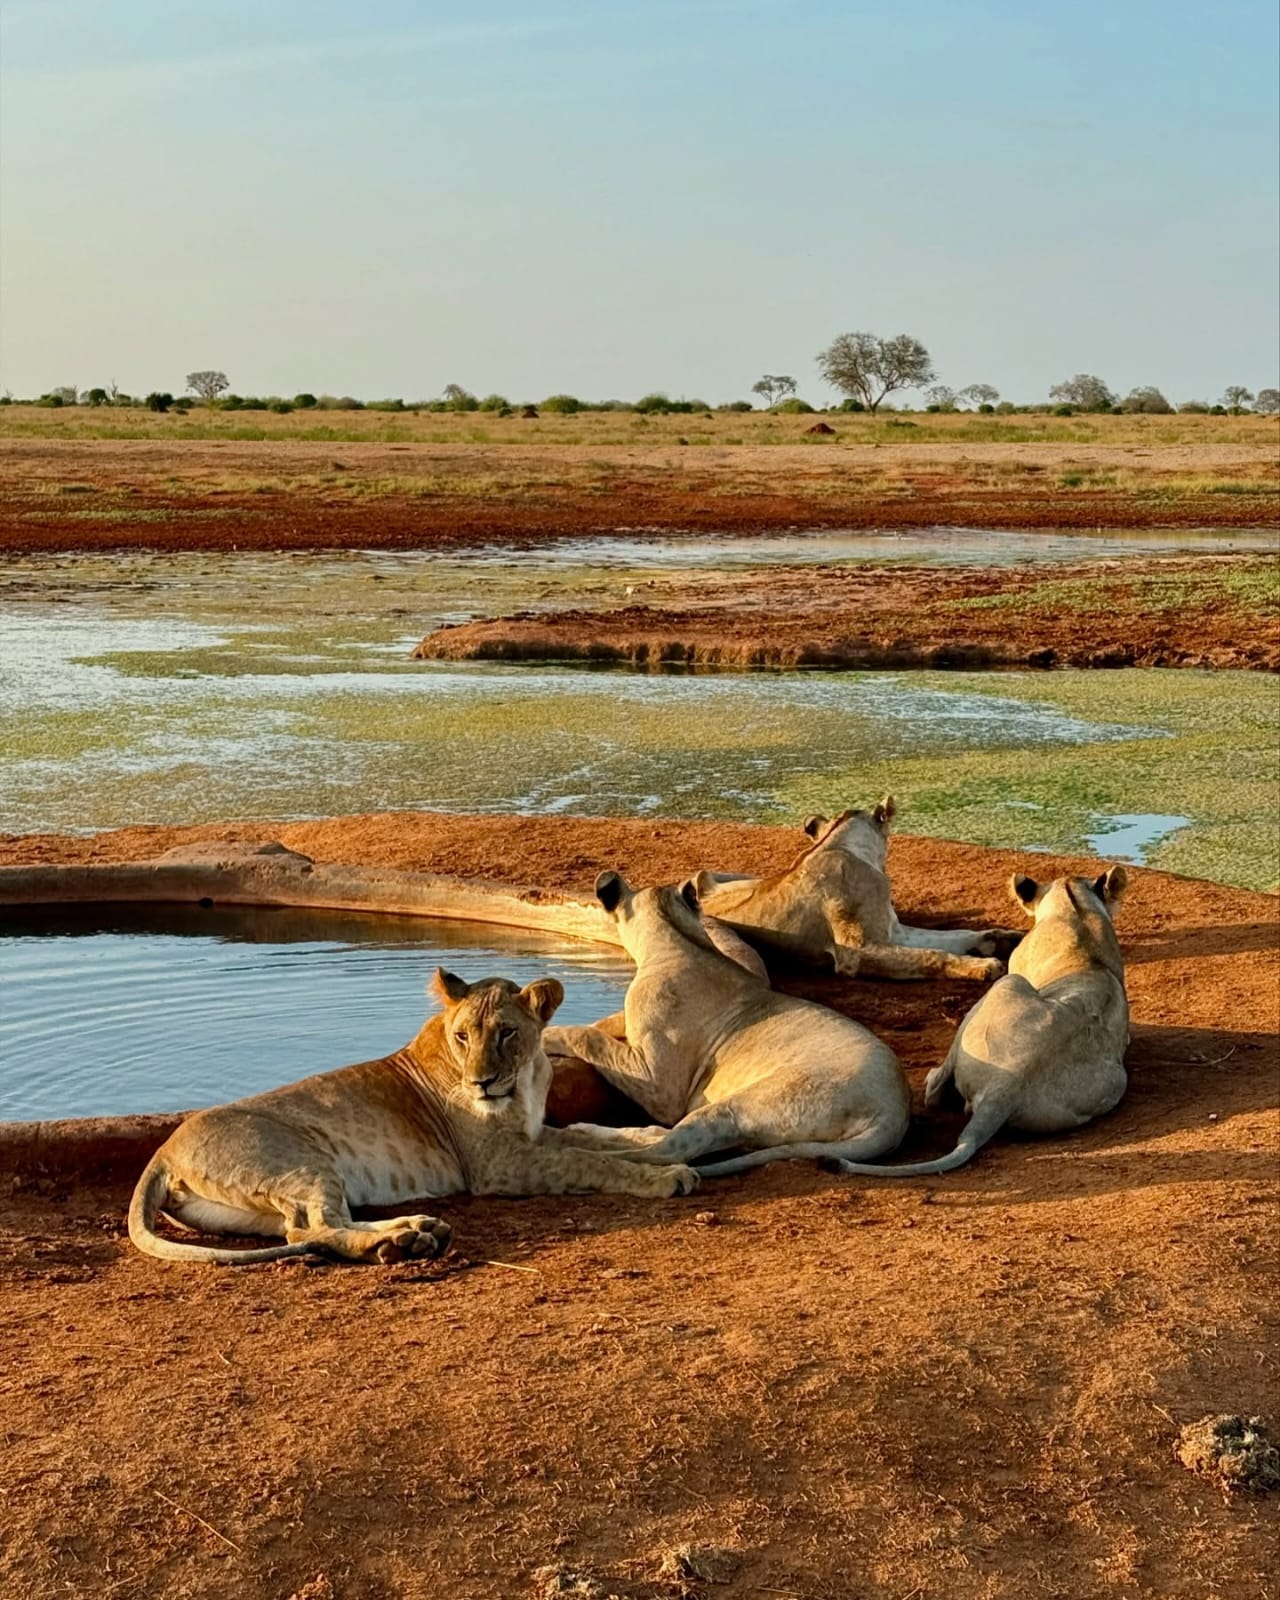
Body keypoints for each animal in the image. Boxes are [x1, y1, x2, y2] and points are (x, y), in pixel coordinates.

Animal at [128, 968, 698, 1265]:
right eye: (464, 1036)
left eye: (506, 1032)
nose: (480, 1083)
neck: (526, 1077)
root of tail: (162, 1151)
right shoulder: (500, 1166)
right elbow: (591, 1161)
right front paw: (668, 1175)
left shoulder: (532, 1137)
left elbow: (591, 1134)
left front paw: (653, 1135)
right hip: (303, 1160)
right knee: (316, 1228)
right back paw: (403, 1243)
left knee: (306, 1228)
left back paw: (415, 1231)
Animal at [542, 871, 910, 1175]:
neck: (678, 939)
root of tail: (893, 1112)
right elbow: (604, 1025)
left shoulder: (659, 1085)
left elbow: (587, 1036)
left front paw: (547, 1035)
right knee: (662, 1136)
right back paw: (584, 1130)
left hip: (749, 1104)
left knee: (670, 1148)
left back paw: (581, 1150)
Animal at [695, 797, 1013, 981]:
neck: (848, 846)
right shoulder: (857, 953)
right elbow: (933, 955)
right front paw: (984, 966)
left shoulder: (896, 932)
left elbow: (952, 936)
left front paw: (999, 939)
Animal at [830, 866, 1131, 1176]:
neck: (1075, 907)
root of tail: (1006, 1085)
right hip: (1115, 1082)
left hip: (1006, 984)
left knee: (935, 1093)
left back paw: (932, 1078)